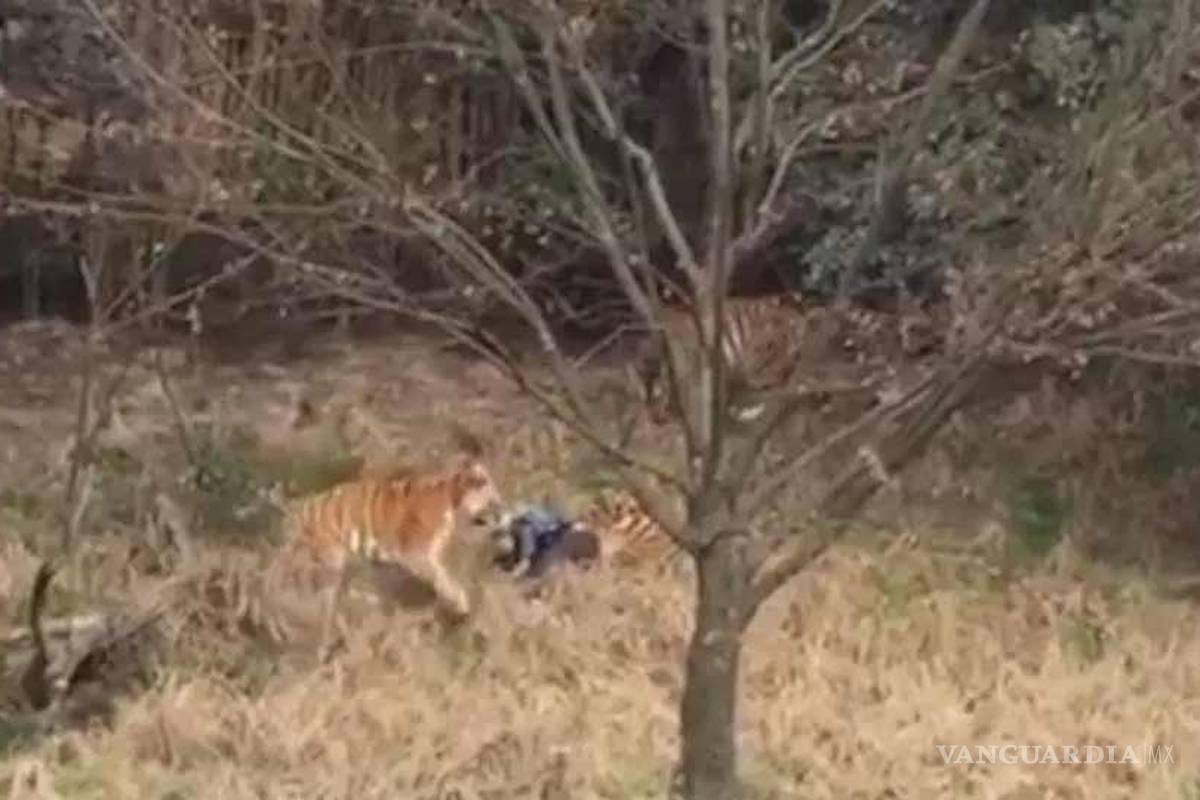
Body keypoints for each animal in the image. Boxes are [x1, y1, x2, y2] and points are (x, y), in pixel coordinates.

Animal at [282, 455, 505, 661]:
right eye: (489, 491)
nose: (501, 505)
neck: (453, 500)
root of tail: (307, 506)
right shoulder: (416, 555)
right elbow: (444, 579)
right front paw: (460, 603)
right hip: (335, 562)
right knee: (328, 603)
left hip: (354, 565)